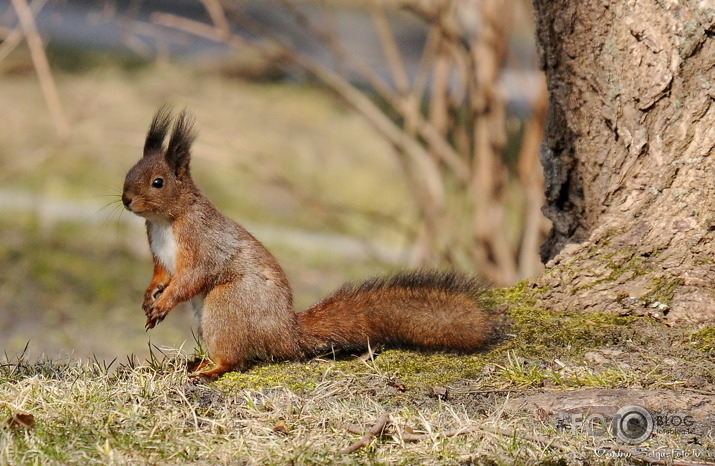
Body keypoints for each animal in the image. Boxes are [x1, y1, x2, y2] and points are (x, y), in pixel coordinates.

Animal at [123, 108, 500, 382]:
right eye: (130, 172)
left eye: (158, 182)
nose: (126, 200)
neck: (167, 220)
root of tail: (285, 334)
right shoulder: (159, 253)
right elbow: (161, 274)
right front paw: (149, 296)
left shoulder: (202, 243)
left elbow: (191, 277)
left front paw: (164, 303)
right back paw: (198, 362)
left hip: (226, 305)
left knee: (235, 359)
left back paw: (211, 369)